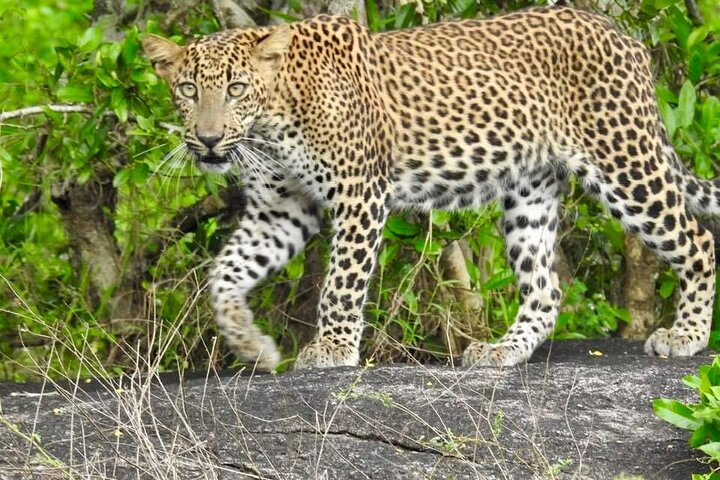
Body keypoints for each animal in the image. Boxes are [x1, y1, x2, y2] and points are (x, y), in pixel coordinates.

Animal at [143, 6, 717, 370]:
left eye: (236, 88)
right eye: (188, 90)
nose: (208, 140)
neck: (270, 120)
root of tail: (624, 36)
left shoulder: (359, 193)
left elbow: (341, 283)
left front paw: (333, 349)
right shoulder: (281, 209)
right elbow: (224, 274)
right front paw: (251, 344)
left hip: (625, 164)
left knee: (699, 242)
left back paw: (686, 336)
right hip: (530, 191)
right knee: (546, 287)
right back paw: (504, 351)